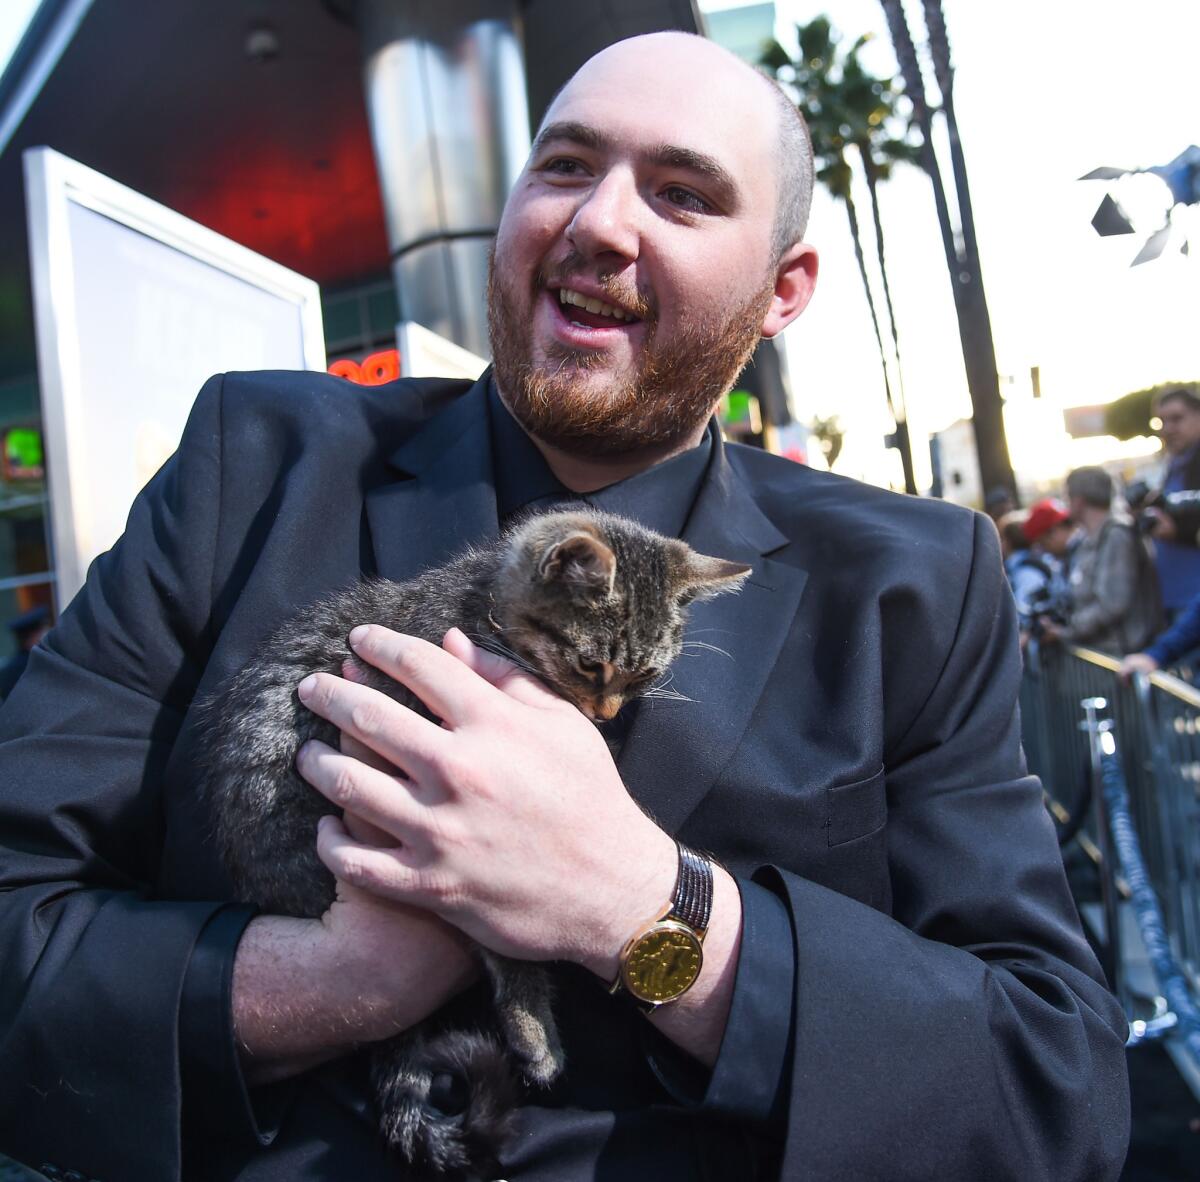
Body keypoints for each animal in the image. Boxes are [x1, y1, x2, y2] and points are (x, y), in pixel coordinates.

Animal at [194, 511, 748, 1176]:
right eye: (591, 666)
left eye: (643, 675)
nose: (607, 711)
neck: (483, 612)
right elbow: (507, 941)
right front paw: (534, 1029)